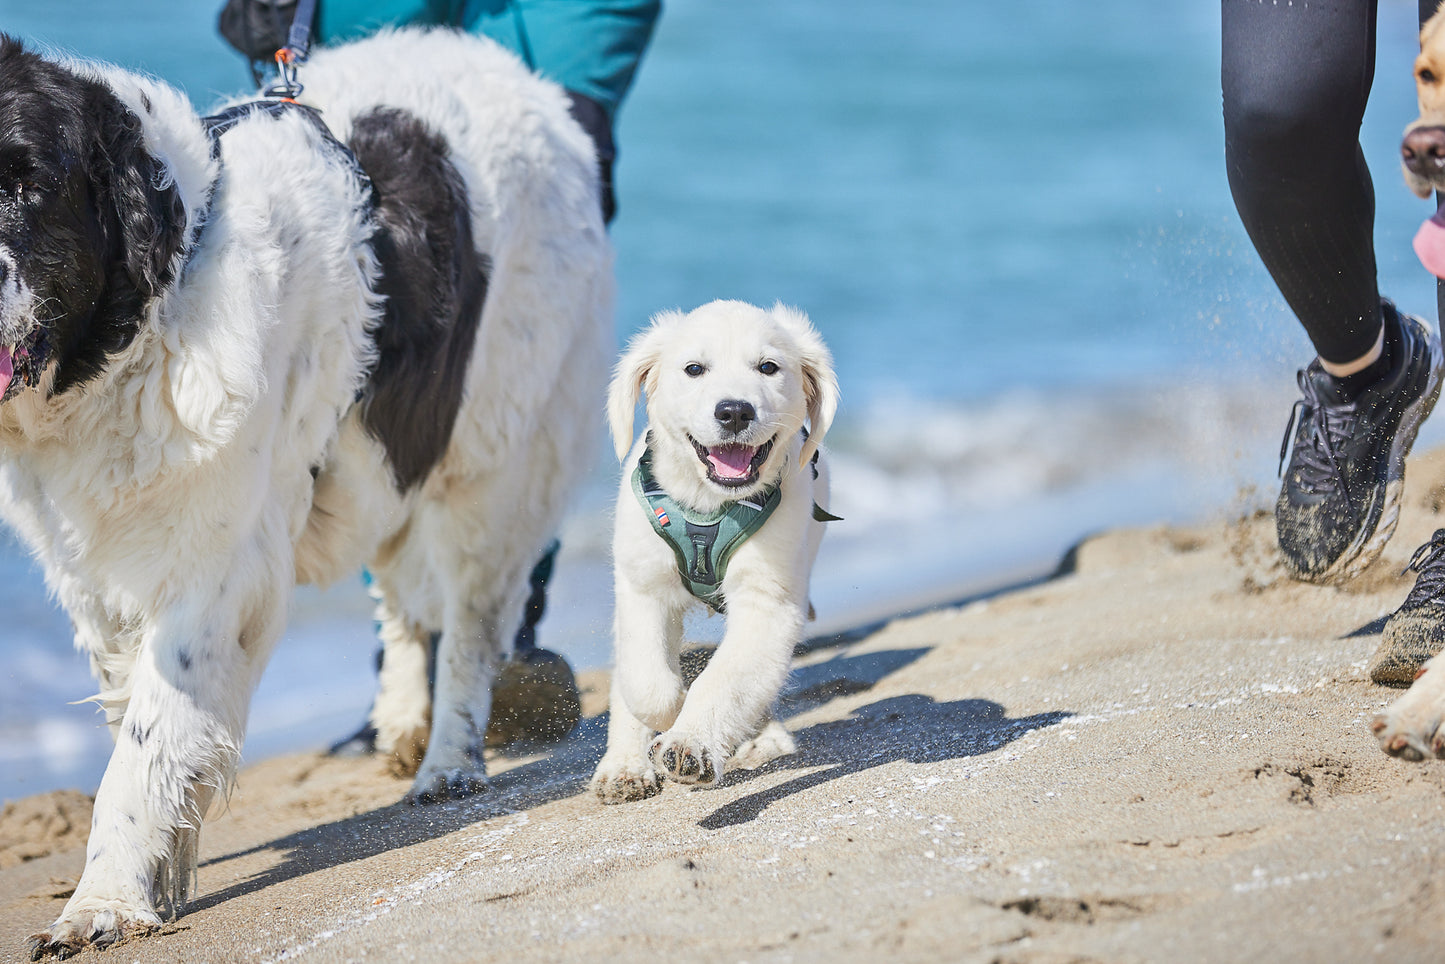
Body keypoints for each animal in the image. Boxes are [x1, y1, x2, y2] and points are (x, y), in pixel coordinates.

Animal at [0, 28, 609, 959]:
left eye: (27, 183)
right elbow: (143, 718)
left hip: (494, 455)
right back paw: (401, 720)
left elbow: (146, 739)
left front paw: (102, 902)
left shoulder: (212, 565)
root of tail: (527, 83)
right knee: (403, 595)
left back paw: (449, 762)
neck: (157, 318)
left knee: (472, 616)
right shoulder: (94, 573)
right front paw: (164, 871)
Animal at [586, 303, 843, 809]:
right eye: (693, 369)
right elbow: (647, 681)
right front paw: (669, 714)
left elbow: (727, 679)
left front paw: (691, 743)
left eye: (768, 367)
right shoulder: (643, 588)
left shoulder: (769, 603)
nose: (734, 411)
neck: (708, 507)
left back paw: (762, 737)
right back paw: (623, 767)